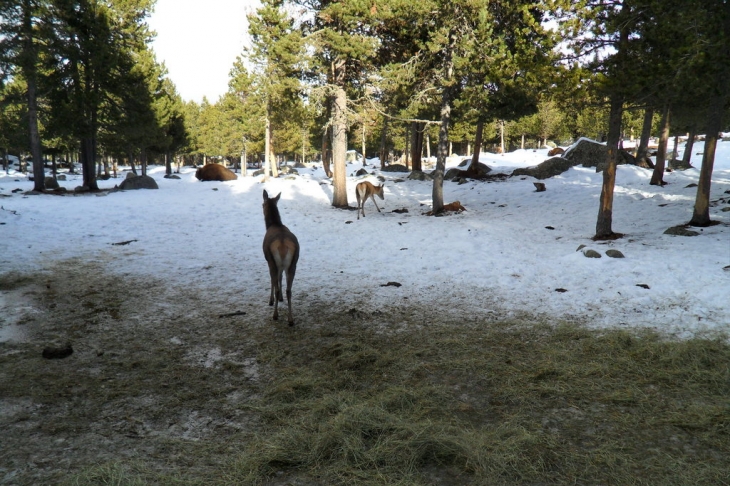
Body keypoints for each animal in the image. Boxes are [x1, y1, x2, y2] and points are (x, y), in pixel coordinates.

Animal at [262, 191, 298, 326]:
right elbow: (280, 278)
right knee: (289, 290)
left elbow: (273, 280)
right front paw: (281, 299)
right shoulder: (282, 266)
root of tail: (282, 245)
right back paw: (290, 319)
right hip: (293, 263)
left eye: (262, 204)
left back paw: (275, 315)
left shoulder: (268, 260)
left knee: (276, 284)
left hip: (273, 261)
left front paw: (271, 300)